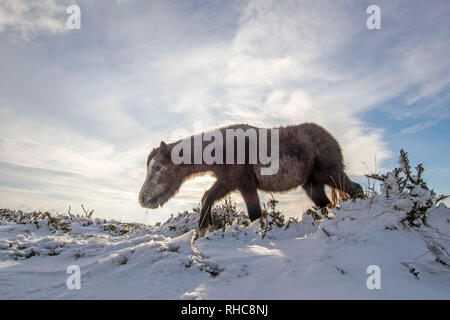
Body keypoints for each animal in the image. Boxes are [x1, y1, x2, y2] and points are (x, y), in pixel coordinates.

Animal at [139, 124, 364, 236]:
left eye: (158, 167)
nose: (143, 199)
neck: (224, 148)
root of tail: (330, 138)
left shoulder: (235, 183)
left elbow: (210, 198)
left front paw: (203, 227)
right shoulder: (237, 185)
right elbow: (212, 199)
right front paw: (206, 226)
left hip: (331, 174)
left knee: (356, 190)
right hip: (312, 185)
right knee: (325, 204)